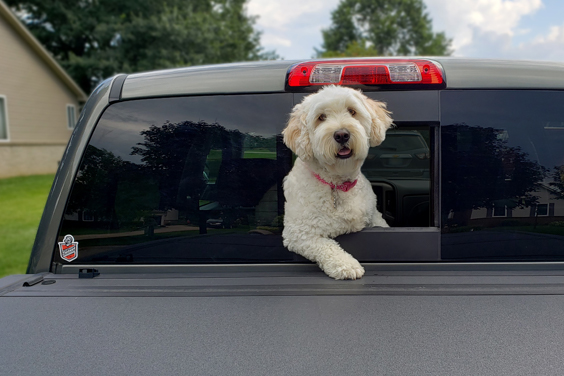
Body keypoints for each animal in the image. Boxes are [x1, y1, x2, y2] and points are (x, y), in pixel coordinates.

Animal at [282, 86, 392, 280]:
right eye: (321, 117)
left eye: (352, 111)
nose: (342, 134)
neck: (338, 184)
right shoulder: (299, 232)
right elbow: (327, 247)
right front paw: (347, 265)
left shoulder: (374, 217)